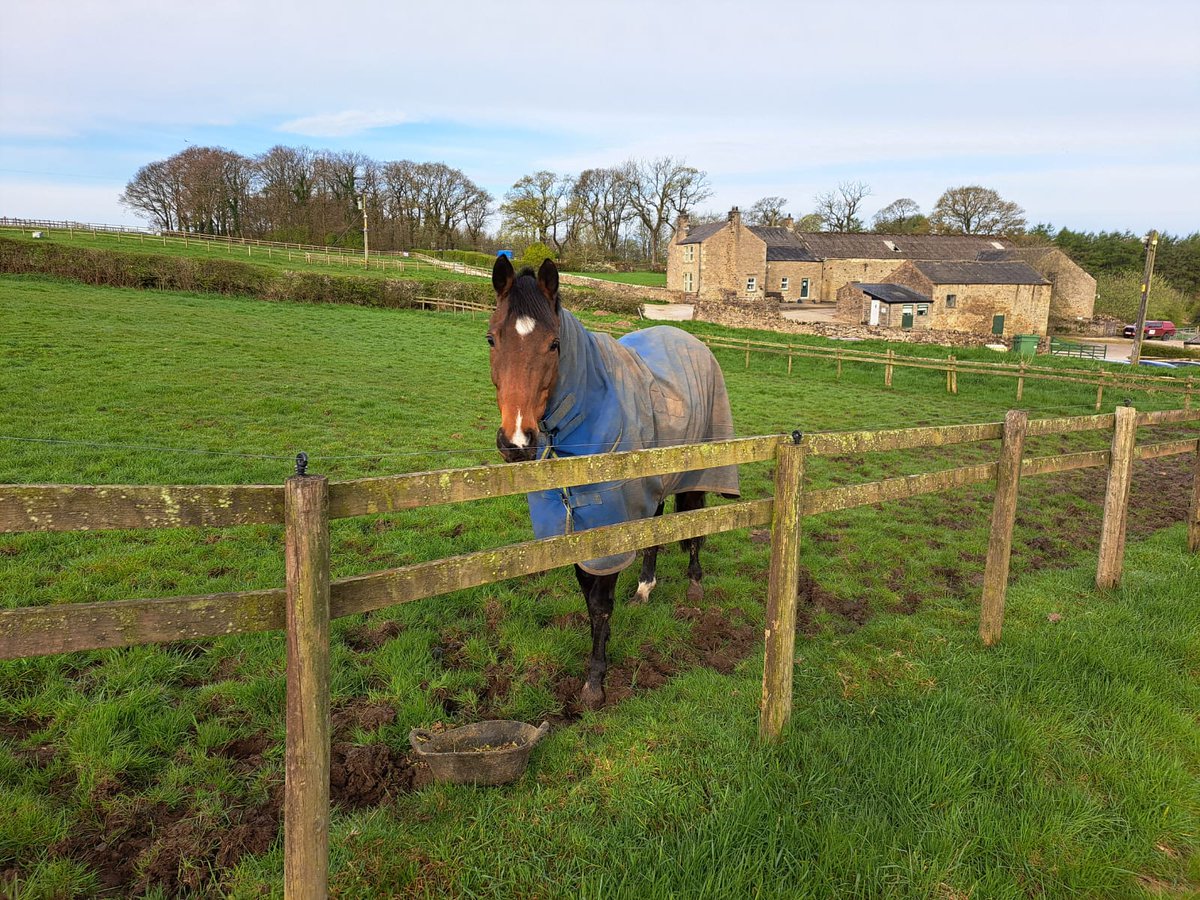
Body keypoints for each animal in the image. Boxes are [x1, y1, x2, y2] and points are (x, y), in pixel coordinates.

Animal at [486, 255, 740, 709]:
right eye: (492, 340)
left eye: (554, 344)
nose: (516, 442)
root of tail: (690, 340)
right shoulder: (576, 523)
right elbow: (589, 597)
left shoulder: (608, 523)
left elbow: (600, 604)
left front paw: (595, 682)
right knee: (656, 531)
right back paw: (644, 587)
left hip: (698, 468)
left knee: (694, 524)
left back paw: (694, 587)